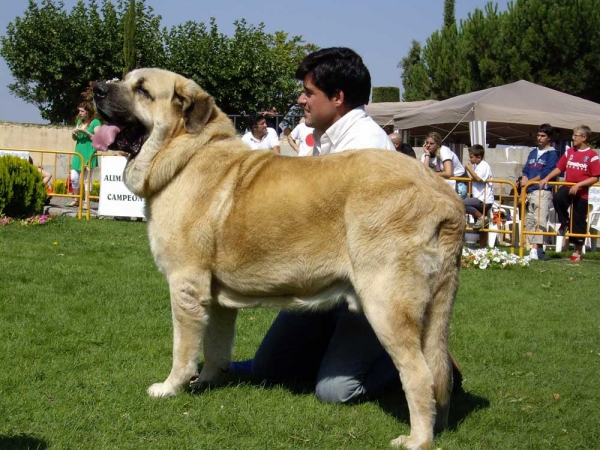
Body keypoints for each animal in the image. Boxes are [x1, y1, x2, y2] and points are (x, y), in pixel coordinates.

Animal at [94, 68, 466, 448]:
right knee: (439, 372)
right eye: (122, 79)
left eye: (142, 90)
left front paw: (171, 387)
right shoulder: (215, 297)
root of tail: (444, 196)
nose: (97, 89)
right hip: (431, 309)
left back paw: (417, 439)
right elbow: (215, 345)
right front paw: (208, 380)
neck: (185, 154)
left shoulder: (185, 284)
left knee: (418, 375)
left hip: (386, 305)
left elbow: (183, 349)